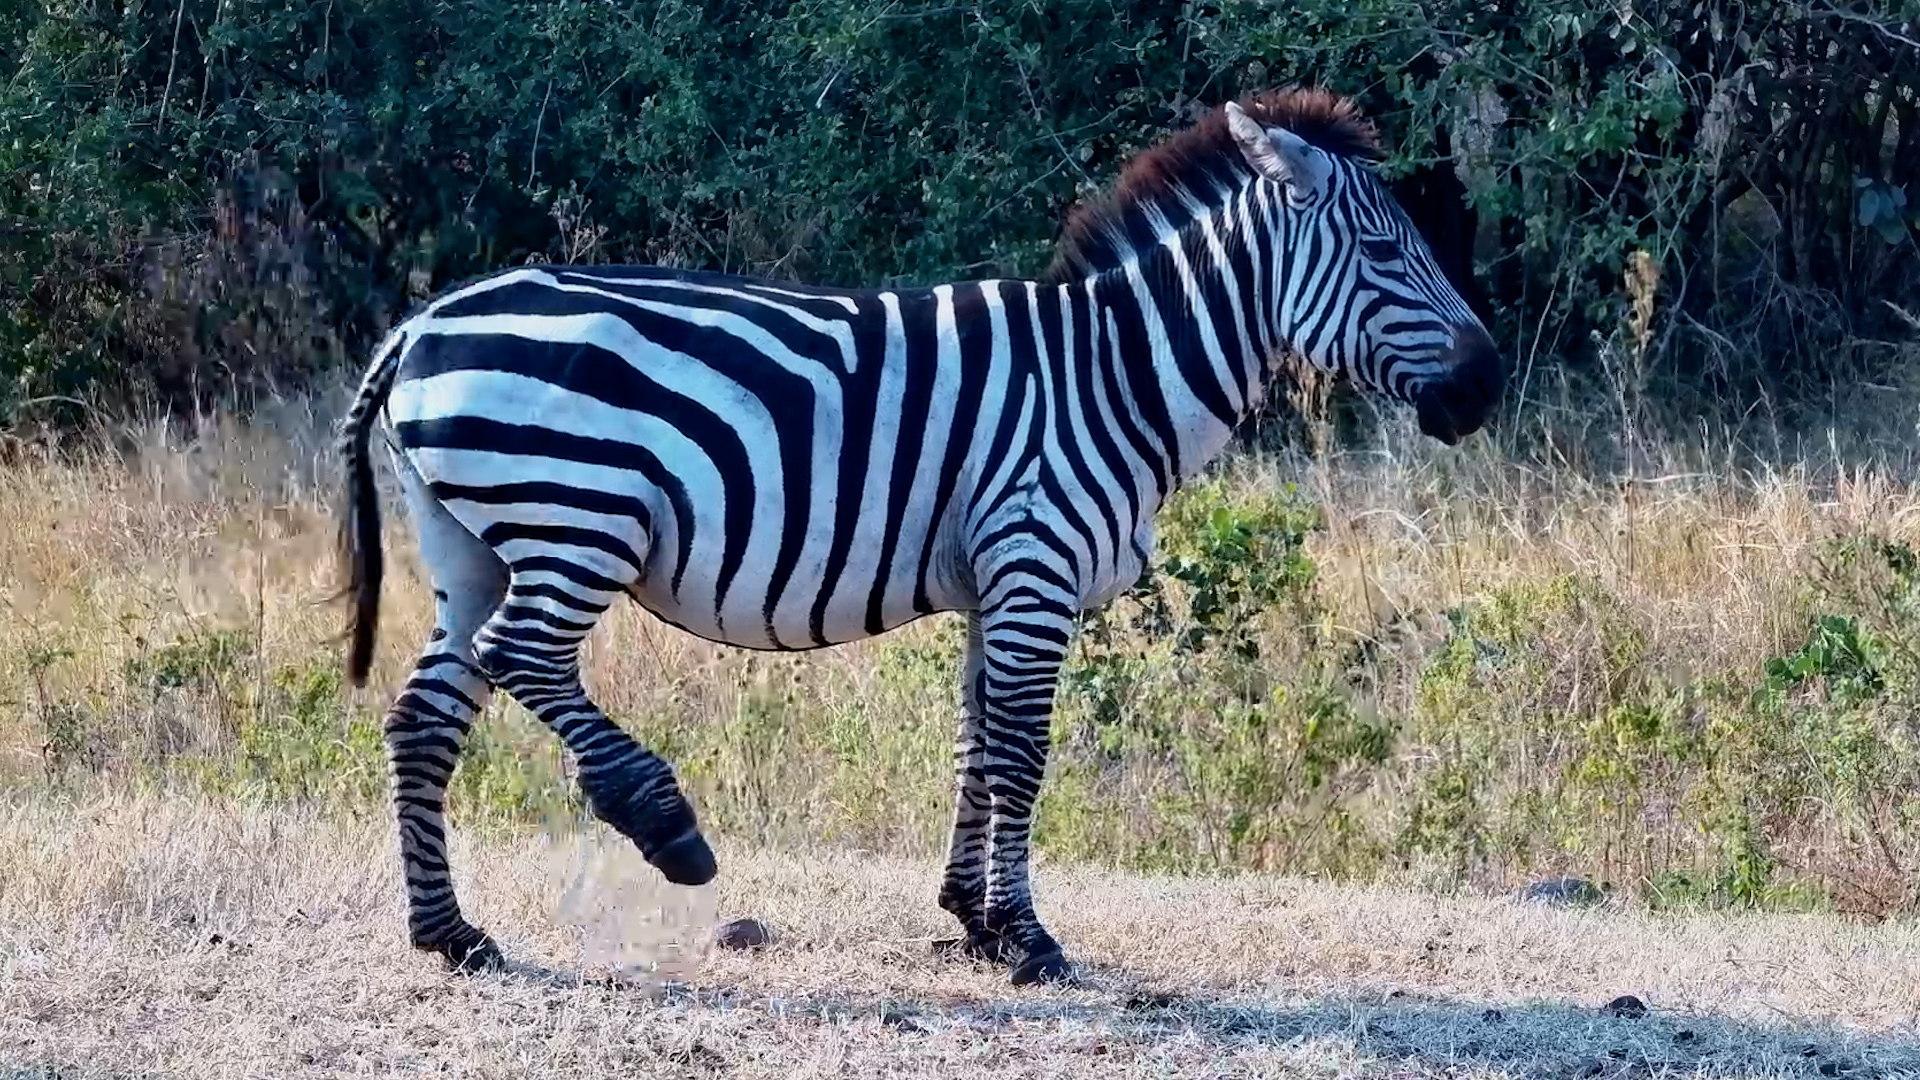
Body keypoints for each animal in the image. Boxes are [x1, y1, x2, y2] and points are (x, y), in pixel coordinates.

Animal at [338, 86, 1503, 985]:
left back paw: (449, 935)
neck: (1115, 378)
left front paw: (973, 921)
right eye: (1386, 252)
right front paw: (1029, 940)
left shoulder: (1000, 583)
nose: (1486, 389)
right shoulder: (1035, 565)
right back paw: (663, 824)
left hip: (474, 547)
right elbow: (1024, 751)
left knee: (425, 716)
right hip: (578, 521)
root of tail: (425, 321)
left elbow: (978, 741)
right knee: (522, 657)